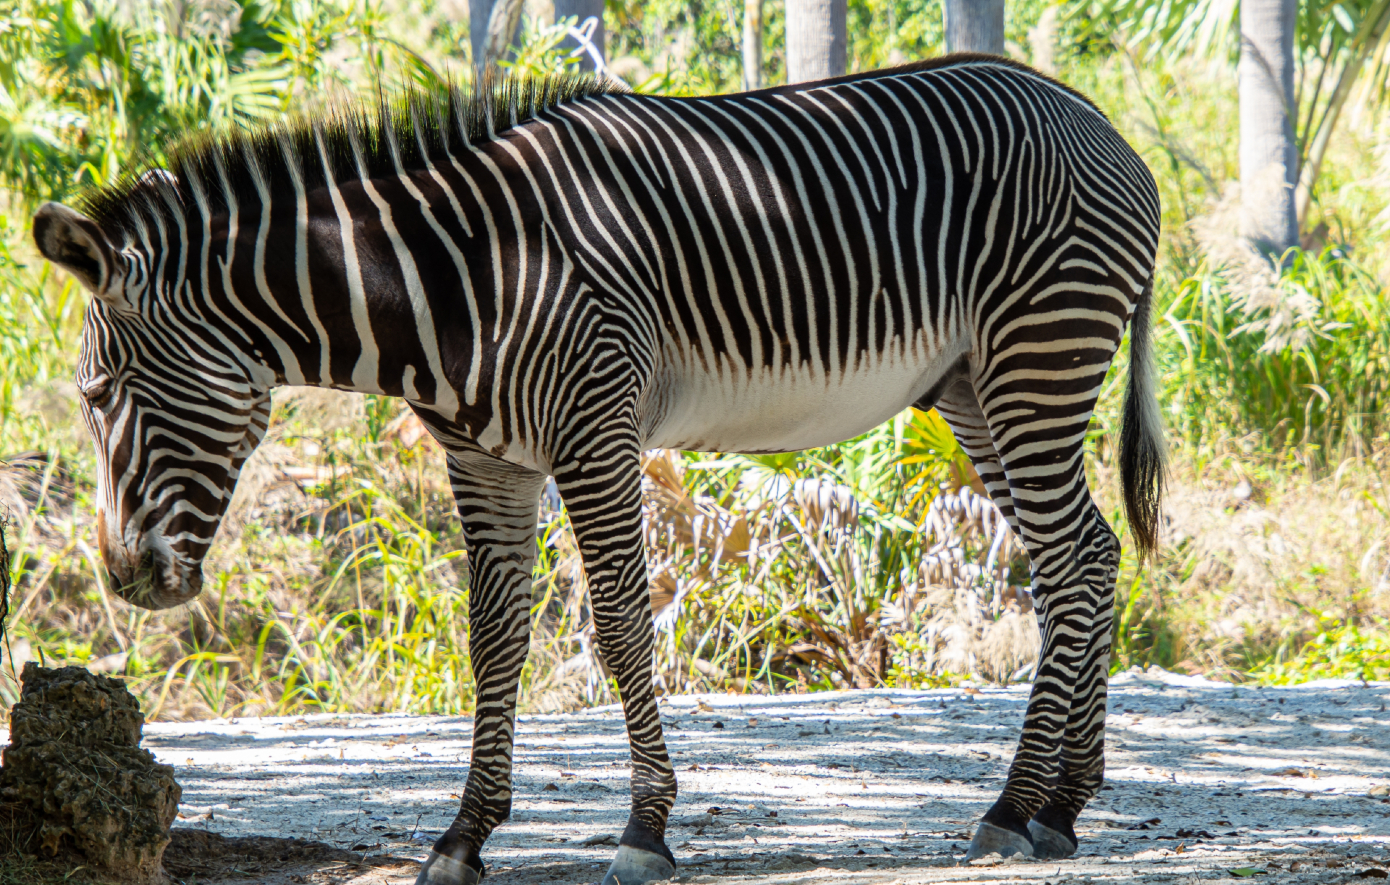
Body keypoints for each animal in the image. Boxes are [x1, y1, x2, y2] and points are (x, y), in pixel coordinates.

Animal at [32, 55, 1162, 883]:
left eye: (98, 393)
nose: (124, 580)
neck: (461, 283)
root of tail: (1098, 120)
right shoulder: (486, 461)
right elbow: (493, 639)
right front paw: (464, 836)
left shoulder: (595, 433)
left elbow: (619, 624)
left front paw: (644, 829)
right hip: (975, 387)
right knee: (1089, 557)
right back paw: (1064, 803)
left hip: (1035, 357)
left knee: (1071, 565)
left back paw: (1014, 806)